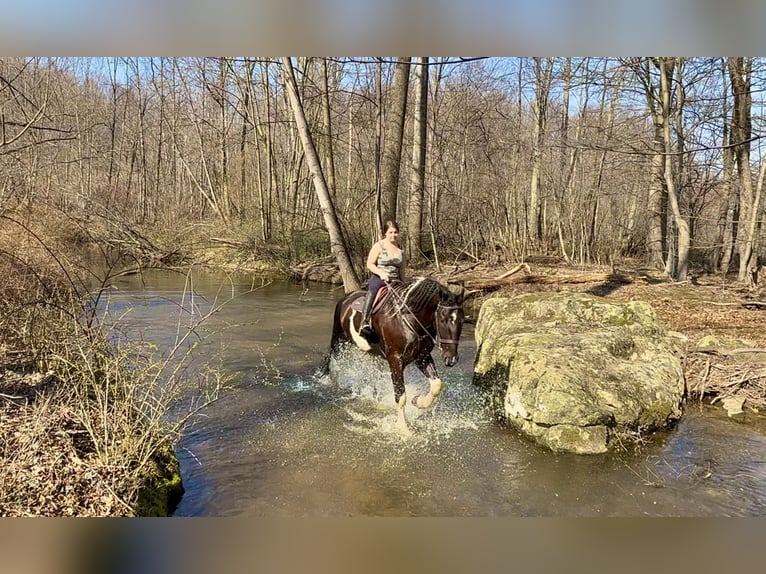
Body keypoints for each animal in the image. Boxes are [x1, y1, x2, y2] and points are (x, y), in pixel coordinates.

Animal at [327, 276, 467, 435]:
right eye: (443, 320)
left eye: (462, 321)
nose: (452, 359)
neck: (410, 321)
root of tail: (346, 298)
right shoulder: (395, 359)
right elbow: (401, 396)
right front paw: (403, 429)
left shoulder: (422, 357)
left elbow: (436, 385)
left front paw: (418, 401)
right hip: (338, 341)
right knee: (333, 364)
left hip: (374, 355)